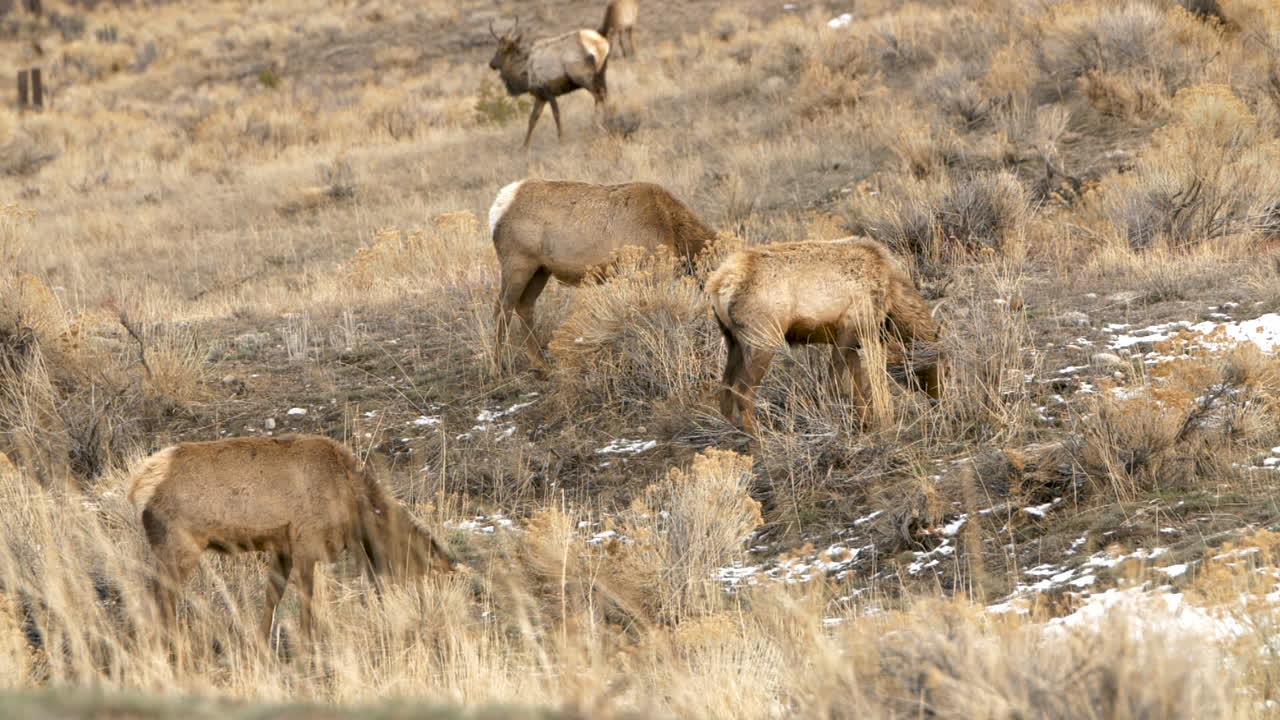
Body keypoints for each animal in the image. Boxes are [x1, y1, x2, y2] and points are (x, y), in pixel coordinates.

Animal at [128, 434, 458, 648]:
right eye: (419, 567)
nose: (423, 618)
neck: (353, 506)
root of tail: (138, 485)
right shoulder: (306, 541)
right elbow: (306, 597)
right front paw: (307, 643)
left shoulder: (282, 547)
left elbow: (273, 595)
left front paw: (261, 641)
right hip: (178, 545)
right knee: (159, 594)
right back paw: (170, 643)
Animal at [488, 18, 610, 149]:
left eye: (500, 50)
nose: (491, 64)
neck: (525, 77)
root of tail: (603, 44)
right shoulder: (541, 96)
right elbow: (532, 119)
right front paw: (524, 147)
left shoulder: (548, 91)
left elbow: (556, 115)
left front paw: (561, 140)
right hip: (601, 73)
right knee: (604, 94)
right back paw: (606, 120)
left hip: (582, 76)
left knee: (598, 95)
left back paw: (597, 124)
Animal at [489, 178, 716, 371]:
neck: (673, 229)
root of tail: (498, 208)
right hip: (518, 263)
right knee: (502, 308)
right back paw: (498, 367)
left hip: (540, 270)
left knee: (524, 306)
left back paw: (541, 365)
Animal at [707, 236, 945, 435]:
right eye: (943, 364)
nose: (941, 398)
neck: (892, 298)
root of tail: (718, 284)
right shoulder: (850, 329)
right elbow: (835, 385)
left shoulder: (853, 341)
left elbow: (857, 388)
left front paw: (866, 424)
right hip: (762, 339)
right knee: (742, 391)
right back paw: (759, 440)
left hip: (733, 341)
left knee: (725, 389)